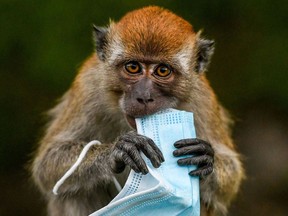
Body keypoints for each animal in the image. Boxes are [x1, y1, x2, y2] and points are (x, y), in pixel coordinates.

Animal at [31, 5, 243, 216]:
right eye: (133, 67)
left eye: (163, 70)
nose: (144, 96)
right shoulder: (88, 85)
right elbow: (48, 164)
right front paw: (118, 151)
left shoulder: (202, 99)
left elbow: (231, 176)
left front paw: (205, 158)